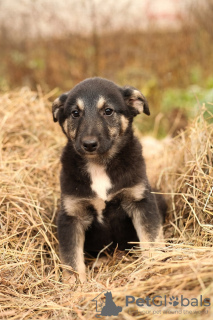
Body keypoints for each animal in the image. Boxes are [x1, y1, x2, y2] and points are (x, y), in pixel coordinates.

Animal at [52, 77, 166, 282]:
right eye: (75, 113)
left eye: (108, 111)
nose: (89, 144)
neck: (99, 165)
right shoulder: (71, 215)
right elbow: (71, 258)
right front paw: (75, 284)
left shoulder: (141, 201)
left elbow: (151, 238)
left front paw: (153, 266)